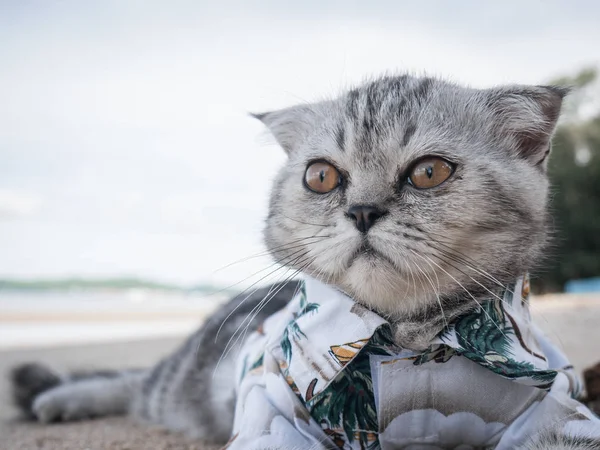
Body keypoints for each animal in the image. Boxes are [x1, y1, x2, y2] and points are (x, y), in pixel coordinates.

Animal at [9, 75, 600, 448]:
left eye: (429, 172)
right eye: (321, 176)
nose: (362, 210)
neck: (408, 340)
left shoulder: (558, 409)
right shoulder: (270, 407)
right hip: (185, 383)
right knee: (137, 385)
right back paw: (57, 400)